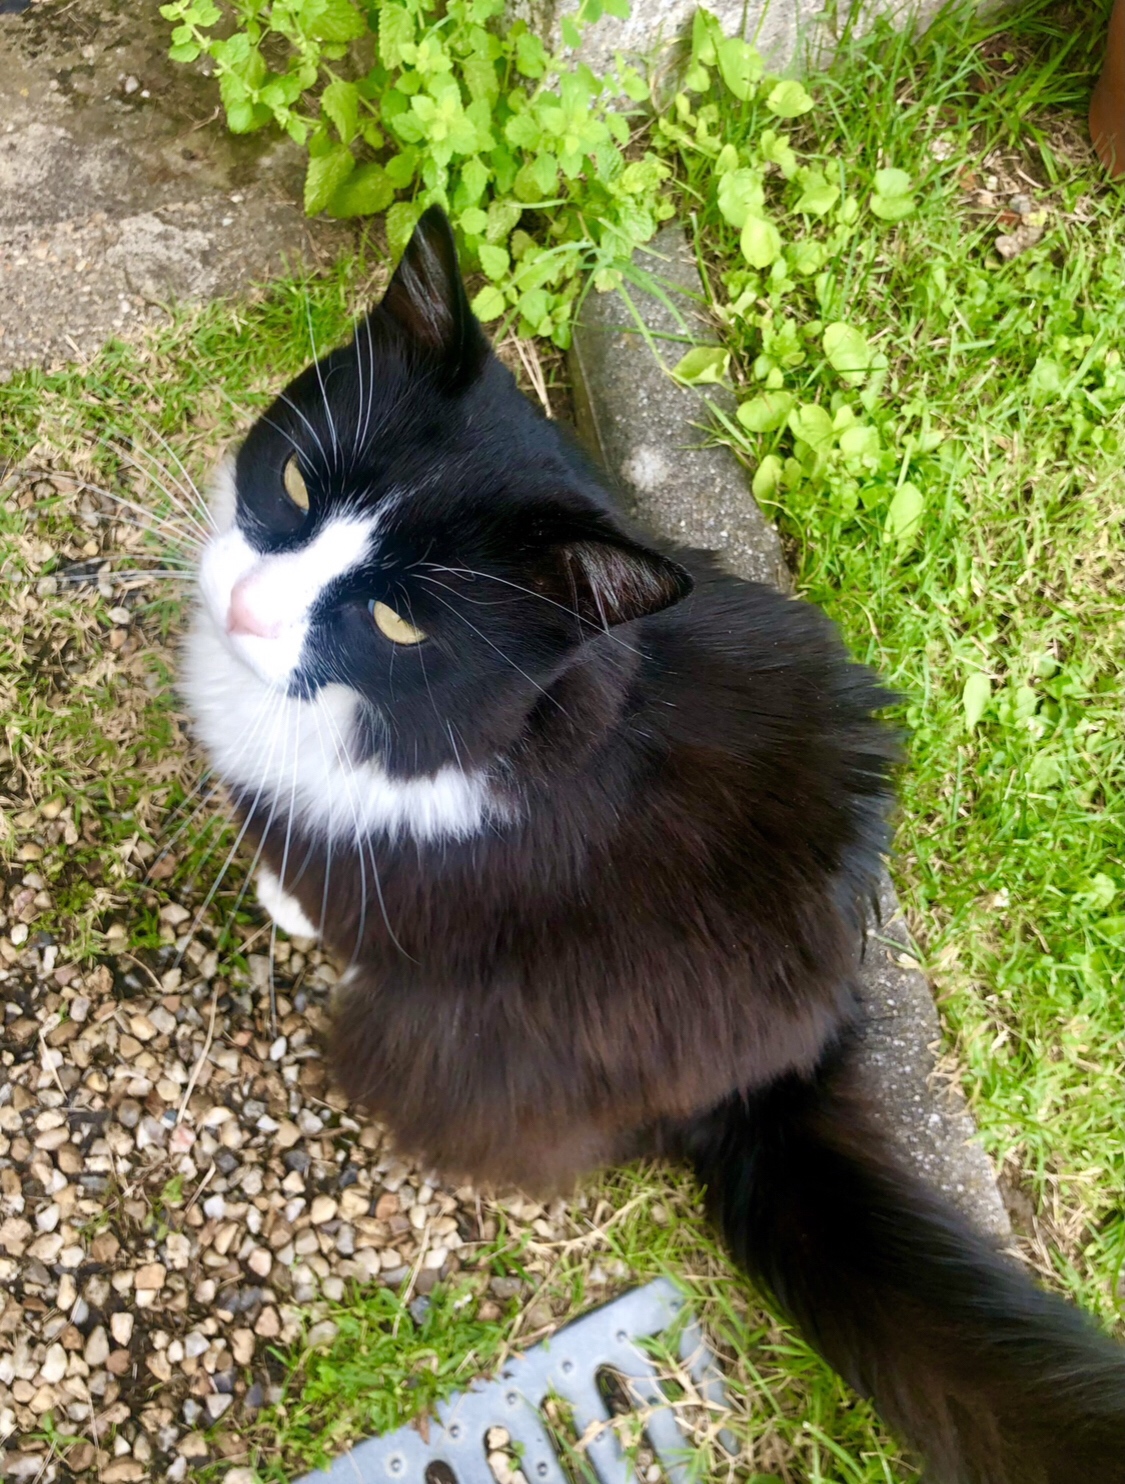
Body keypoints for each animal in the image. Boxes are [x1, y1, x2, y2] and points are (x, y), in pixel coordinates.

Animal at [183, 206, 1125, 1481]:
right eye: (289, 479)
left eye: (399, 621)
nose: (244, 611)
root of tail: (781, 1066)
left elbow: (328, 890)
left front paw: (283, 903)